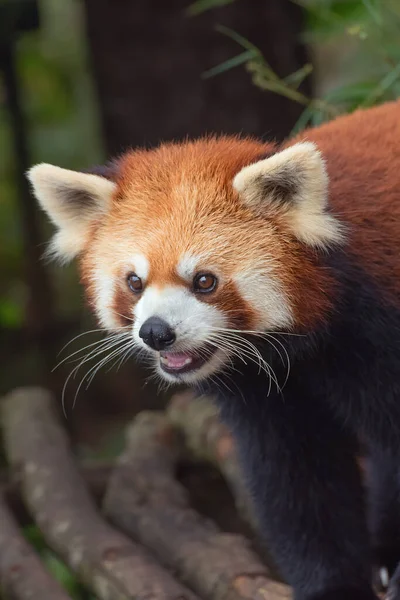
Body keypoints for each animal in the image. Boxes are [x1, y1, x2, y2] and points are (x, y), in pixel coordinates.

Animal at [28, 99, 400, 600]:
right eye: (135, 282)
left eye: (204, 280)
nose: (156, 332)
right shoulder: (270, 397)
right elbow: (298, 483)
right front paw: (331, 586)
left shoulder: (376, 336)